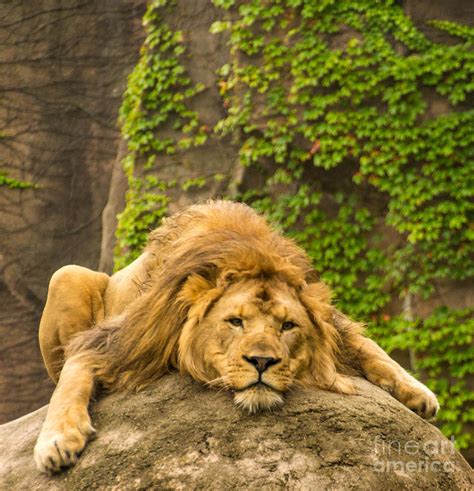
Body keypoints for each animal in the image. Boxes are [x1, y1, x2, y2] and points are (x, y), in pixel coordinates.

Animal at [35, 200, 438, 472]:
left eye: (287, 326)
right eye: (235, 322)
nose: (262, 361)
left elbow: (367, 345)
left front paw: (418, 392)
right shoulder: (122, 339)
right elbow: (73, 375)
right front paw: (57, 440)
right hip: (66, 274)